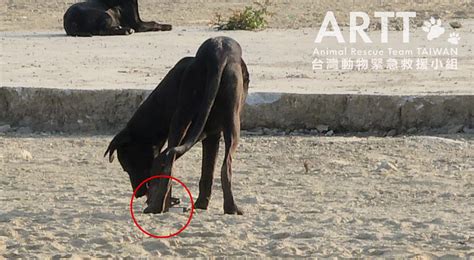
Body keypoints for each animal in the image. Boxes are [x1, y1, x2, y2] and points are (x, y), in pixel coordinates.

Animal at [106, 36, 250, 215]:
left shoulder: (208, 133)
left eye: (128, 166)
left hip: (199, 120)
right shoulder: (206, 132)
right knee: (177, 160)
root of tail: (216, 54)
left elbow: (206, 170)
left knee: (172, 159)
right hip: (200, 119)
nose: (138, 194)